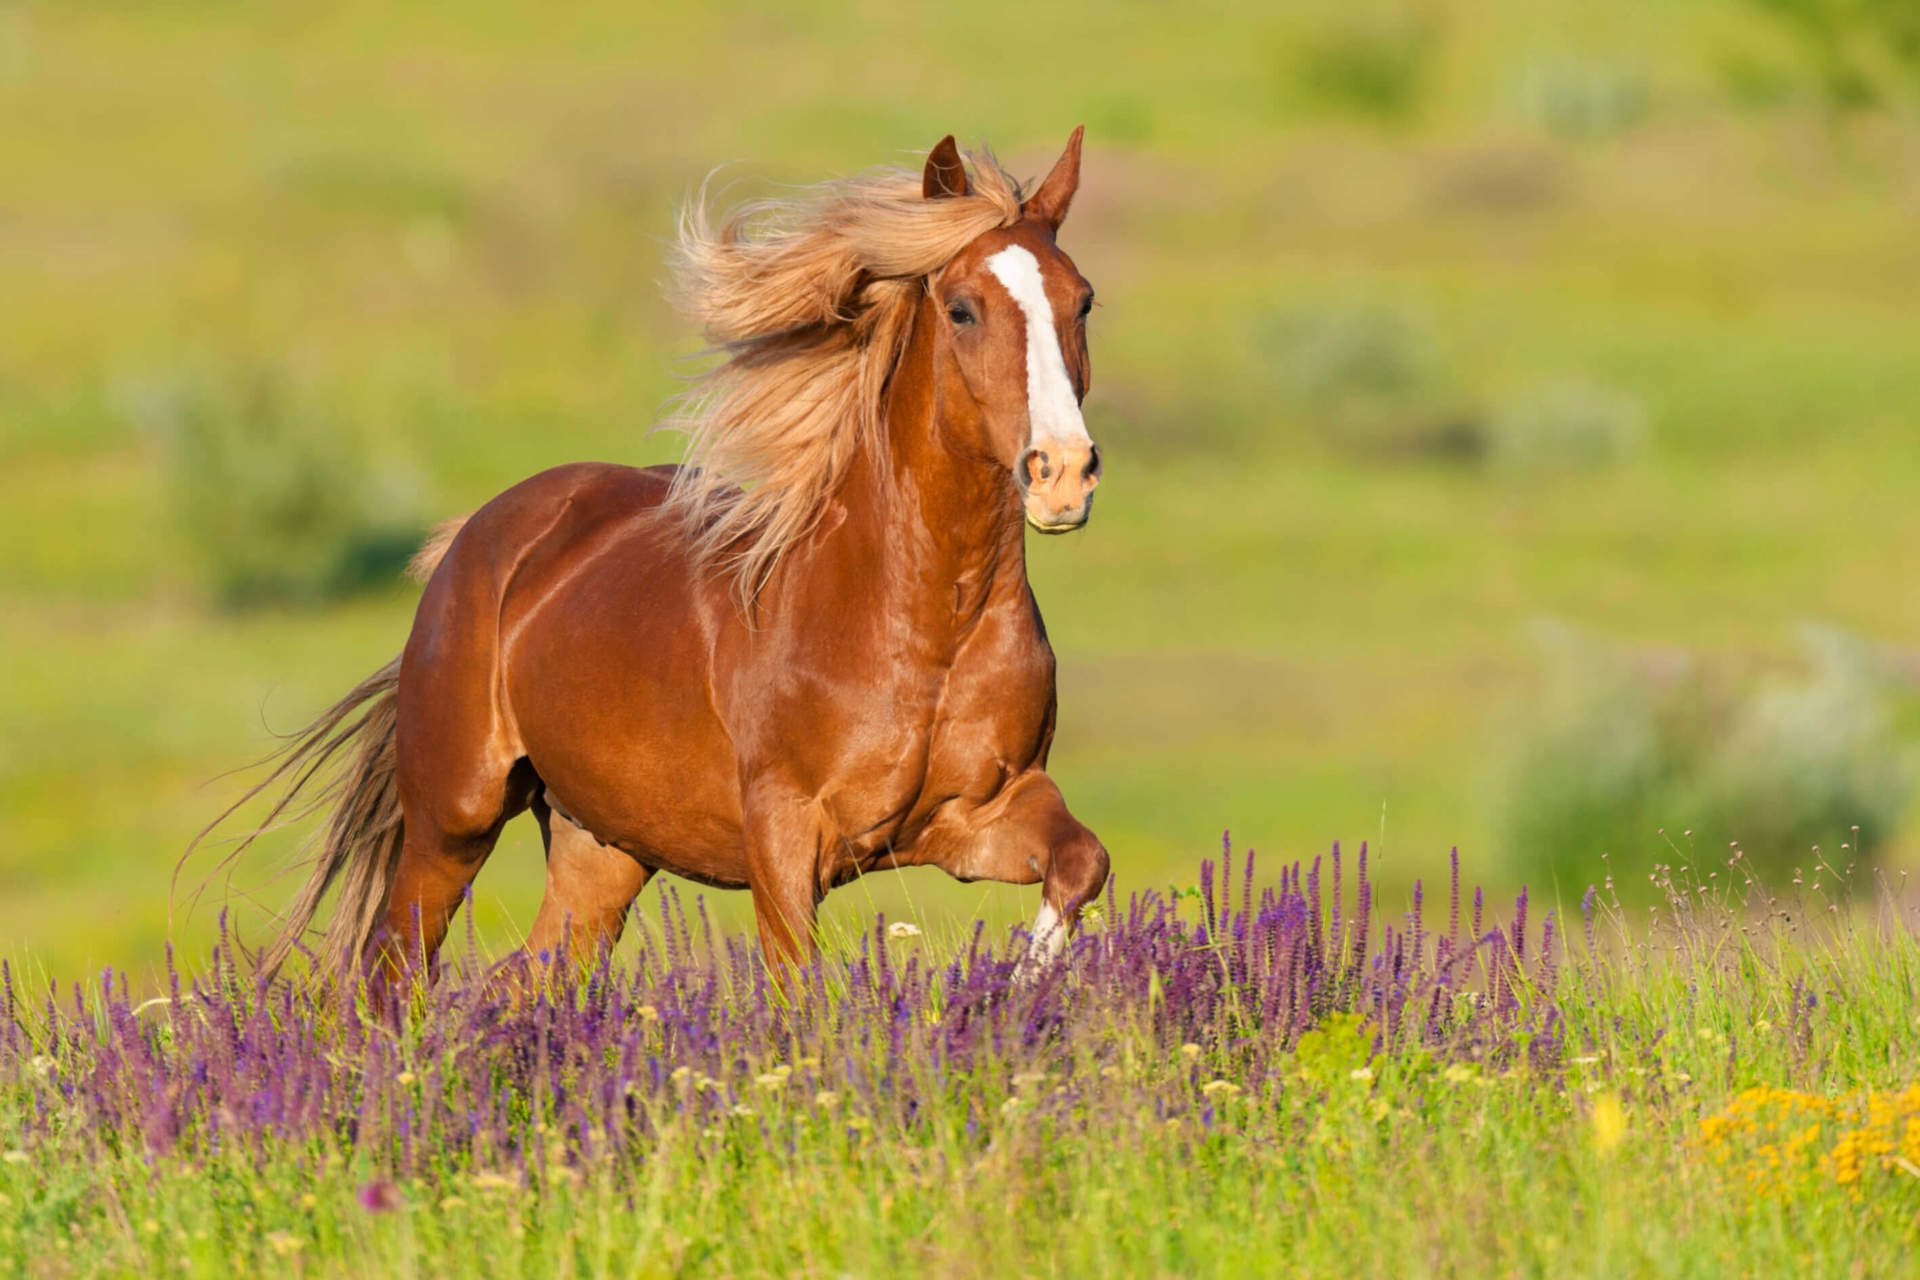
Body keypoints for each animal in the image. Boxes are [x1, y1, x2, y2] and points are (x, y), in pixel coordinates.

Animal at [209, 129, 1109, 987]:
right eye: (961, 309)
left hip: (601, 849)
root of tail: (473, 542)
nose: (1062, 472)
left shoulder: (976, 813)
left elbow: (1081, 863)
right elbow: (800, 991)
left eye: (1083, 301)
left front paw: (1020, 990)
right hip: (453, 821)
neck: (923, 624)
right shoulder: (785, 838)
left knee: (524, 981)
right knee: (394, 976)